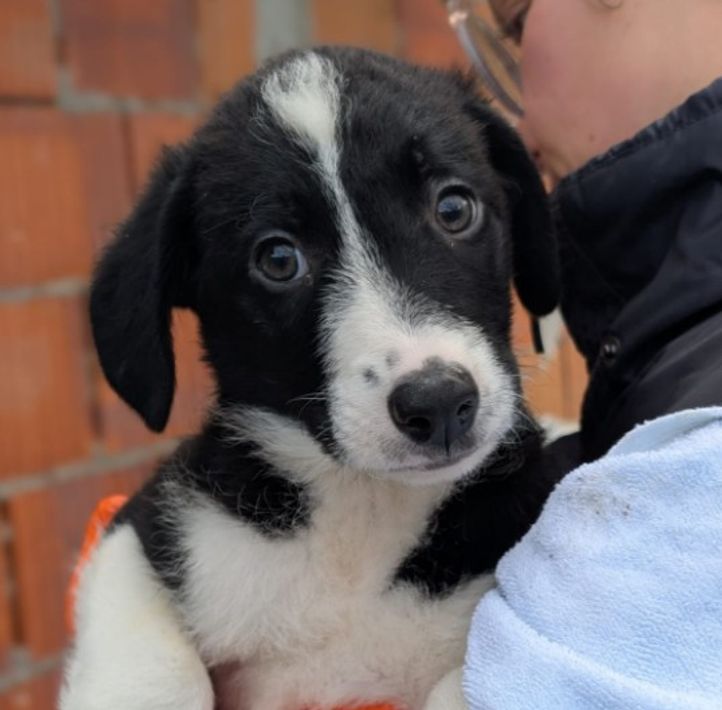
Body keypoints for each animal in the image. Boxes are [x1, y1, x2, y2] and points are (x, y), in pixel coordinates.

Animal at [61, 47, 560, 710]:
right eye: (278, 259)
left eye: (454, 208)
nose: (439, 403)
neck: (361, 510)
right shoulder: (141, 528)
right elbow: (156, 667)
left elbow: (466, 685)